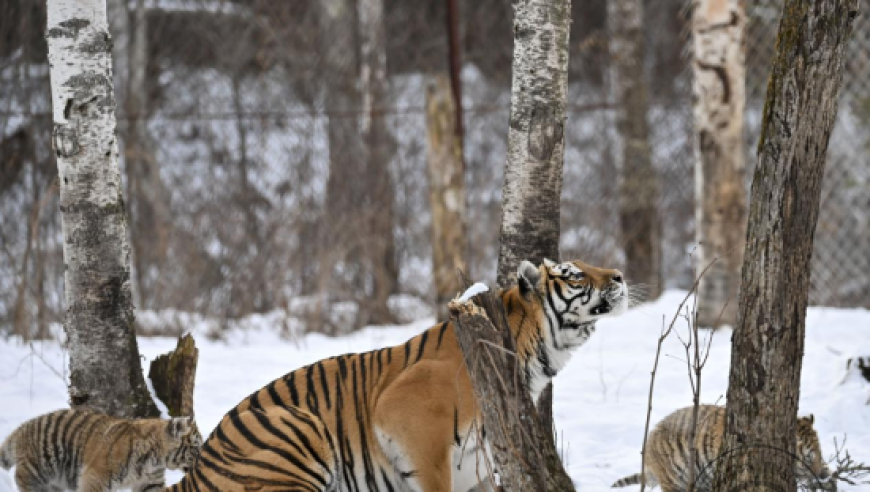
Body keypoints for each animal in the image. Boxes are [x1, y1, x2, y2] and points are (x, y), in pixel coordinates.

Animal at [0, 408, 201, 492]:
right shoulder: (95, 477)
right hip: (36, 475)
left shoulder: (150, 483)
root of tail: (22, 428)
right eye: (195, 447)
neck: (156, 460)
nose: (202, 460)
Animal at [194, 258, 628, 492]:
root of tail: (196, 468)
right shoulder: (409, 417)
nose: (620, 276)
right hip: (296, 427)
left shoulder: (479, 465)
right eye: (574, 274)